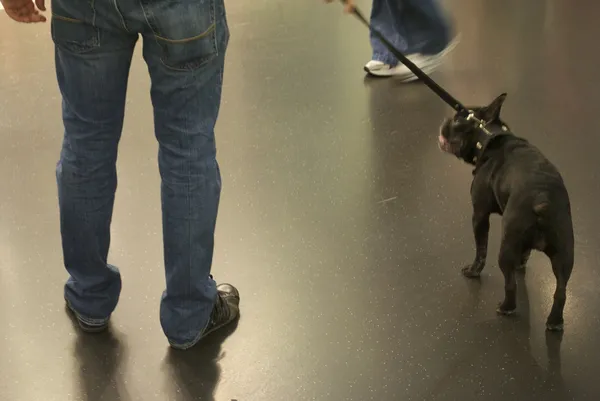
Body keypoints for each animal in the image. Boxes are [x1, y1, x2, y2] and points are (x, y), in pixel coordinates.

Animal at [438, 94, 576, 332]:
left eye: (456, 120)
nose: (445, 121)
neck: (489, 136)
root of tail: (543, 199)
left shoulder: (479, 215)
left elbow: (481, 250)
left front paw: (473, 271)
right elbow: (525, 252)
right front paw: (522, 262)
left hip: (506, 248)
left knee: (510, 284)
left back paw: (506, 308)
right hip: (565, 253)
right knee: (560, 291)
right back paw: (555, 322)